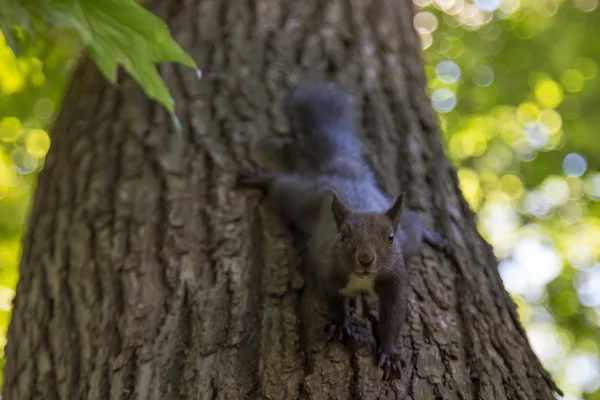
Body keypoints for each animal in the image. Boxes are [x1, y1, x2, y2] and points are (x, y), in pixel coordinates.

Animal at [237, 82, 452, 382]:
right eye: (342, 236)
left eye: (390, 237)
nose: (366, 259)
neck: (362, 280)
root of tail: (345, 173)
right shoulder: (329, 271)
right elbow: (333, 300)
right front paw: (340, 324)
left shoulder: (396, 281)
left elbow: (393, 318)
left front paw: (389, 354)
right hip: (301, 199)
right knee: (281, 186)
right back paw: (257, 179)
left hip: (407, 237)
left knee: (414, 223)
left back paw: (433, 236)